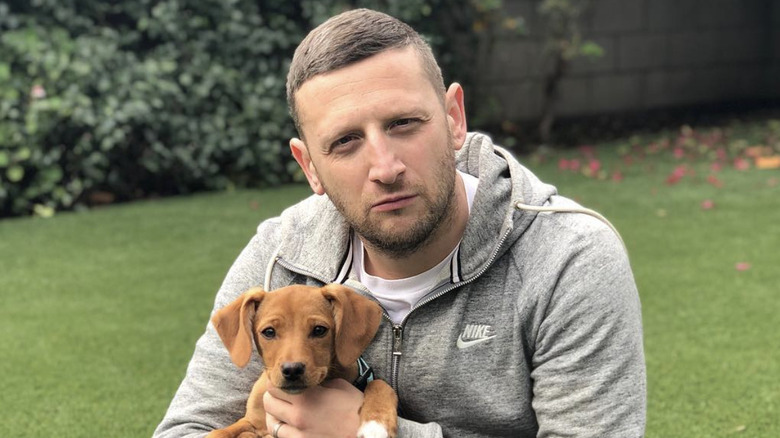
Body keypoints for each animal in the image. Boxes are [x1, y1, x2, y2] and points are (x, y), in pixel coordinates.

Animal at [206, 284, 396, 438]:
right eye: (269, 332)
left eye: (319, 330)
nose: (292, 370)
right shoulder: (251, 421)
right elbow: (218, 432)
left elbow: (380, 384)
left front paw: (376, 425)